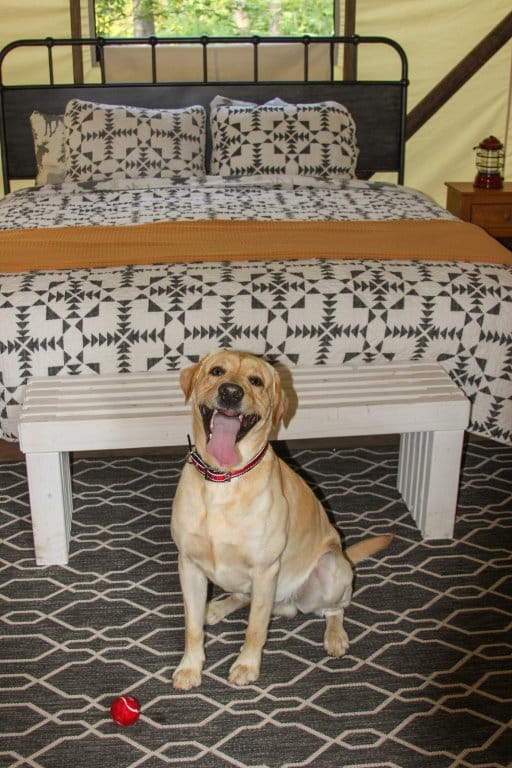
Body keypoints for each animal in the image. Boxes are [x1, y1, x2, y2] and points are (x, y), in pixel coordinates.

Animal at [171, 348, 392, 688]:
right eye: (217, 371)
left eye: (256, 381)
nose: (231, 392)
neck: (224, 479)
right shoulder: (189, 565)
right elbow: (192, 626)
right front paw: (190, 668)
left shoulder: (265, 571)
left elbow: (255, 628)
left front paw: (246, 666)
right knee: (240, 596)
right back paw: (215, 608)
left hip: (330, 567)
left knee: (335, 609)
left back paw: (335, 637)